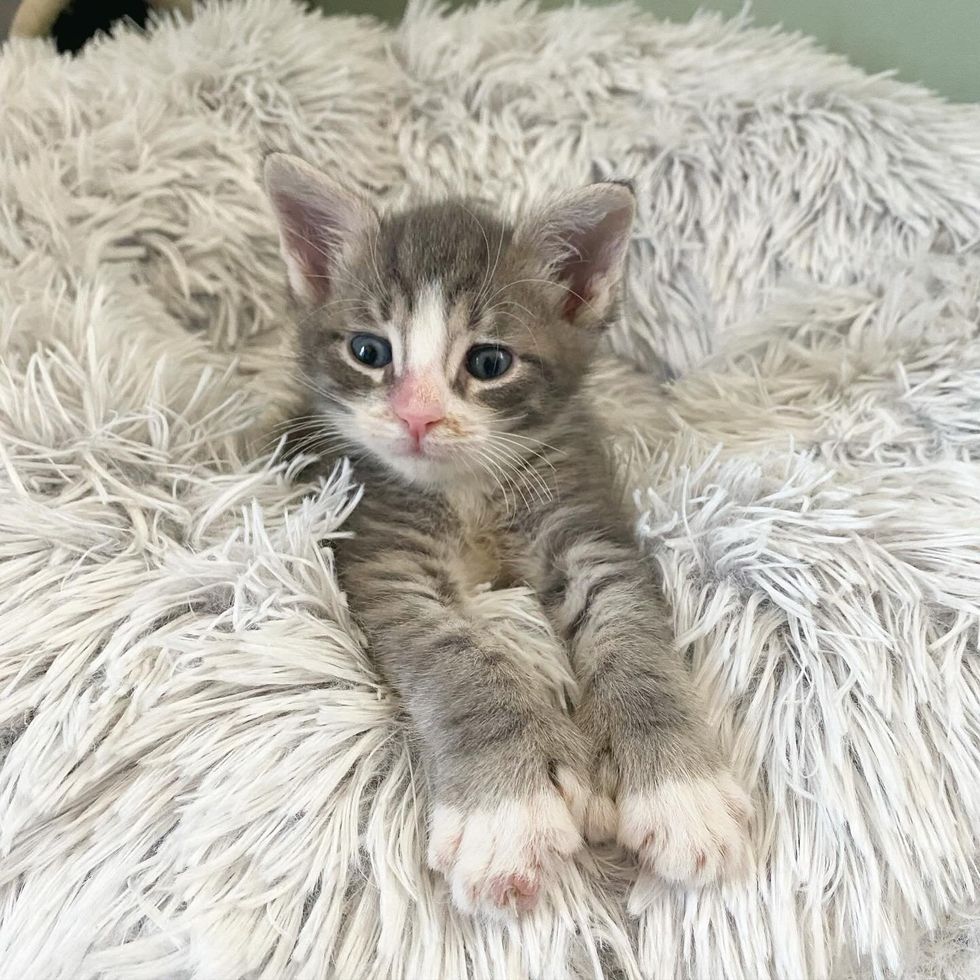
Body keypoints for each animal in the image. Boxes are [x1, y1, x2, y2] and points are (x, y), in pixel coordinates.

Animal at [262, 155, 752, 920]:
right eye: (370, 351)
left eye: (489, 363)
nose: (417, 417)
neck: (468, 490)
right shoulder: (382, 555)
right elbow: (452, 654)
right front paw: (508, 814)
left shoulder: (585, 521)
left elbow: (628, 627)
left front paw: (679, 788)